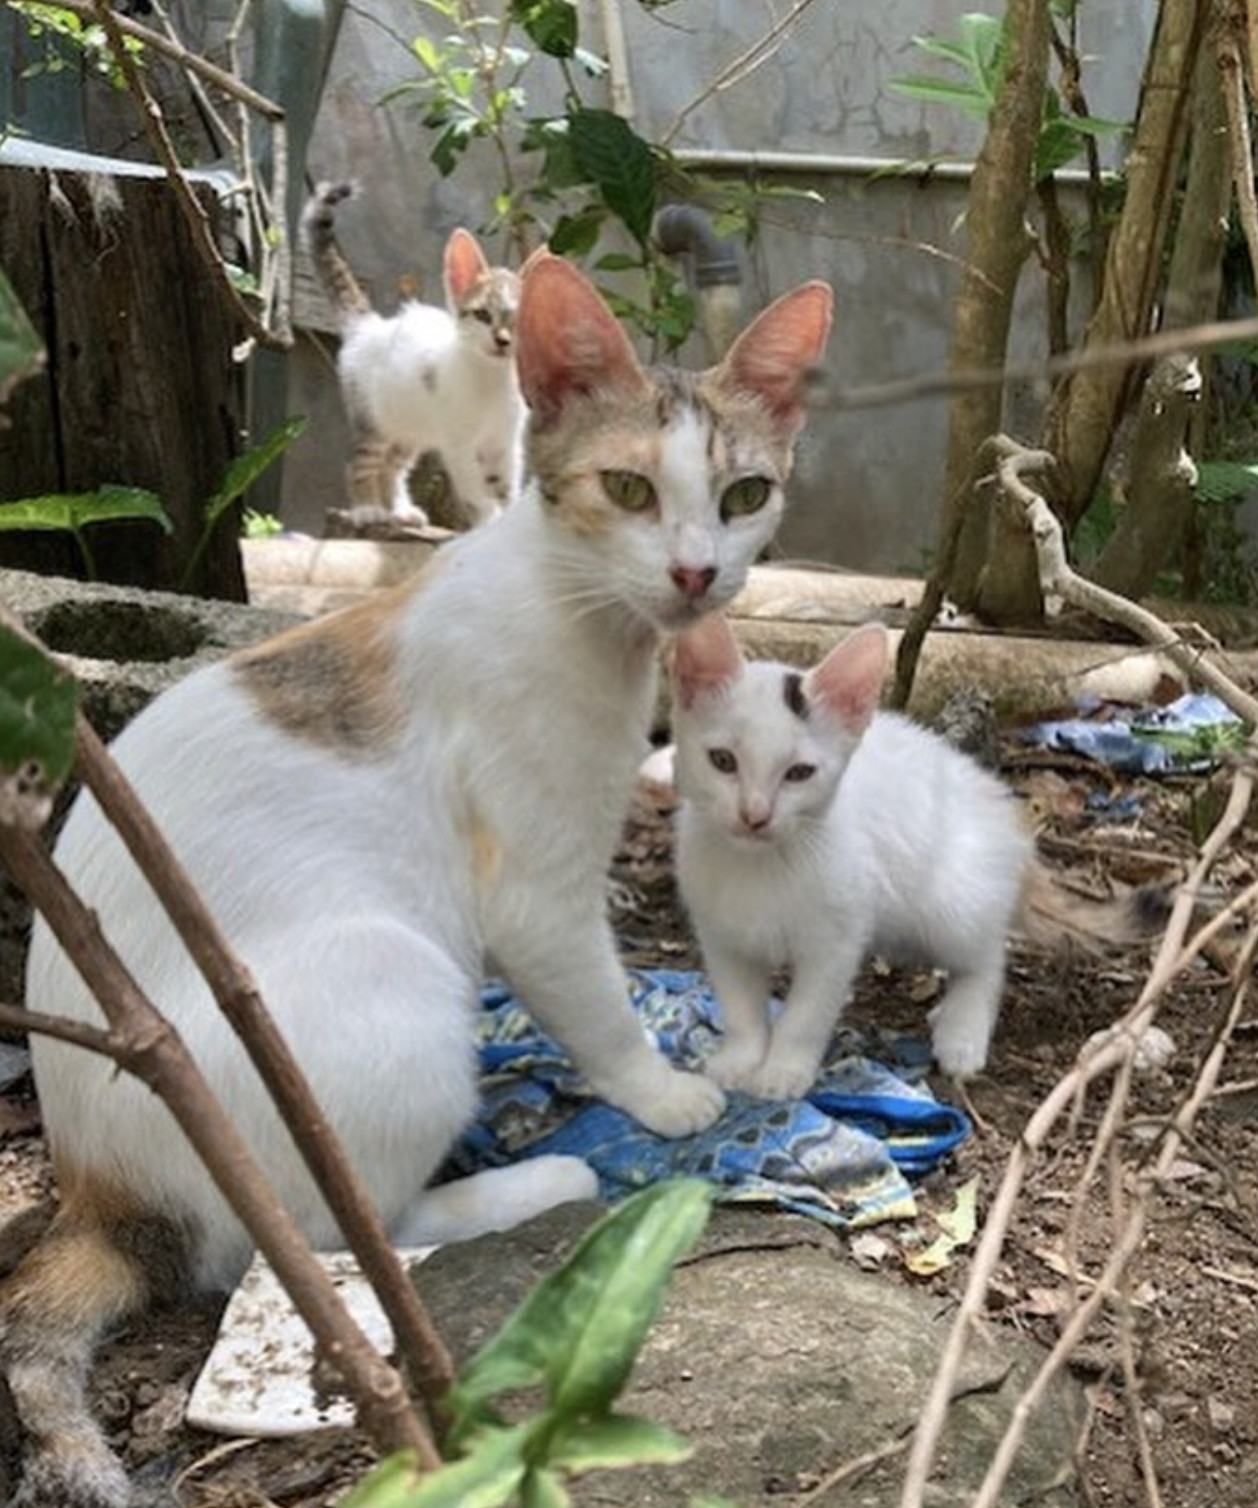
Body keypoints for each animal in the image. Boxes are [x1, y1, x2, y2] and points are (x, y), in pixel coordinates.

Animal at [2, 259, 832, 1508]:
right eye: (627, 486)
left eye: (743, 493)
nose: (696, 571)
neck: (575, 606)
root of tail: (97, 1185)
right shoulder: (532, 889)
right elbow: (592, 999)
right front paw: (658, 1088)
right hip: (391, 978)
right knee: (333, 1226)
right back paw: (535, 1179)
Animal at [666, 612, 1031, 1097]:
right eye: (722, 760)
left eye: (799, 773)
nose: (754, 816)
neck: (763, 862)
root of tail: (991, 793)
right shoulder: (722, 934)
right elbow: (740, 1004)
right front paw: (741, 1058)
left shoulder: (837, 940)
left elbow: (807, 1014)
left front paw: (783, 1070)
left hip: (951, 896)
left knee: (985, 957)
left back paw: (962, 1031)